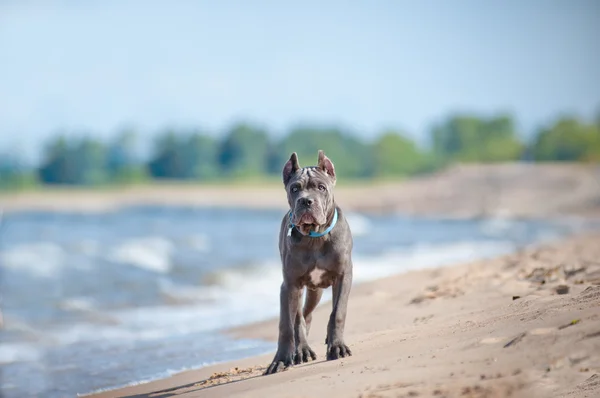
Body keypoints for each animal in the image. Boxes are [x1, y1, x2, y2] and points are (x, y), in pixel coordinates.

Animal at [264, 151, 354, 374]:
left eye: (321, 187)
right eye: (294, 188)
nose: (306, 201)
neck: (314, 236)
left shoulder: (343, 276)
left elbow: (338, 312)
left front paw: (337, 346)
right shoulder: (289, 285)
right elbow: (287, 325)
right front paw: (280, 359)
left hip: (317, 291)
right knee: (301, 317)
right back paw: (302, 349)